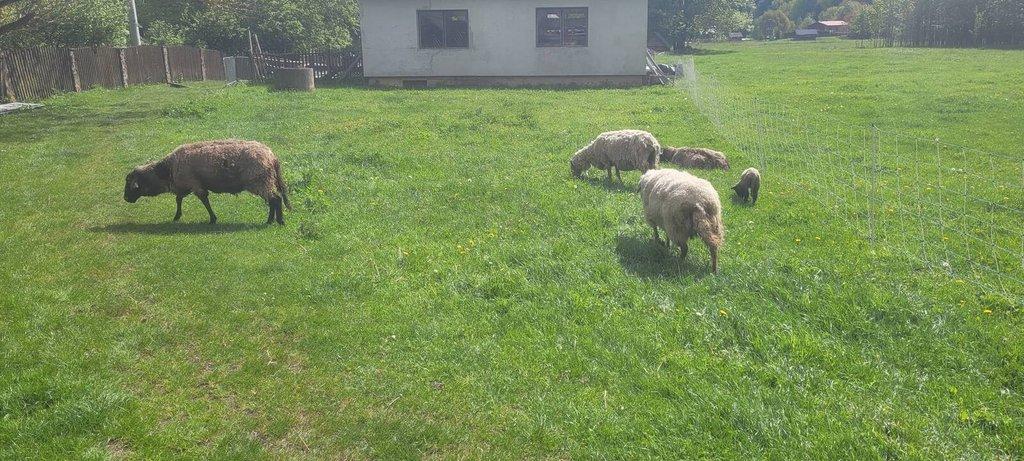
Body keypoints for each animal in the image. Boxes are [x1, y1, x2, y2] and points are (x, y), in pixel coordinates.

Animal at [123, 139, 292, 225]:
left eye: (131, 185)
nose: (125, 198)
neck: (166, 170)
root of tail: (272, 156)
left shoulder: (195, 185)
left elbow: (204, 201)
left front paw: (212, 219)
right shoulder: (184, 186)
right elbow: (178, 199)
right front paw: (177, 216)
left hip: (260, 182)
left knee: (275, 199)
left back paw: (279, 221)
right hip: (265, 181)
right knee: (273, 200)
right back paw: (271, 221)